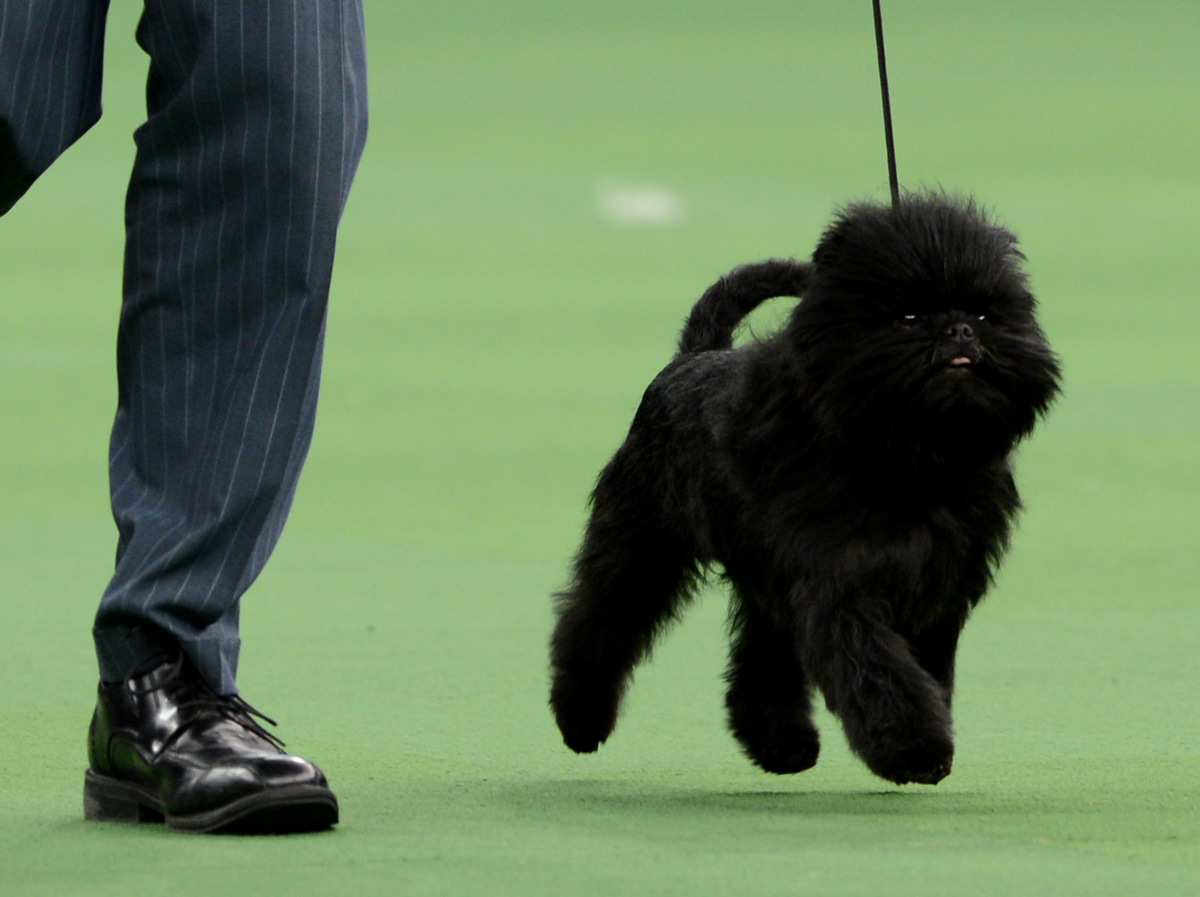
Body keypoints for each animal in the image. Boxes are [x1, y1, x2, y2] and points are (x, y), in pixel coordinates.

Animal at [549, 192, 1060, 785]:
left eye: (984, 314)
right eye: (908, 317)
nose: (959, 330)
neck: (907, 455)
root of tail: (693, 355)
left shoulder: (938, 581)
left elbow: (919, 668)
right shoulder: (838, 583)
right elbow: (879, 669)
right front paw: (914, 747)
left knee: (762, 650)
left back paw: (781, 743)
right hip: (641, 537)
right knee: (600, 617)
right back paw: (581, 720)